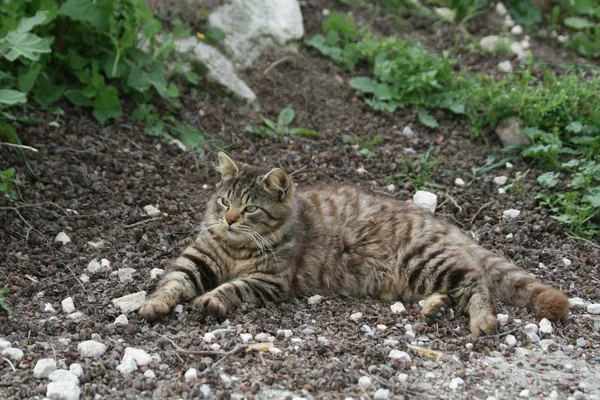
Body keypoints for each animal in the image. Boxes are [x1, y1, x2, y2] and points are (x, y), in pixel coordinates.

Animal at [138, 153, 568, 334]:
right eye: (225, 203)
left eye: (250, 210)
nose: (228, 219)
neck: (235, 249)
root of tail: (442, 222)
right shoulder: (197, 259)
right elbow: (171, 281)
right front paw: (155, 304)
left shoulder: (269, 281)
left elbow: (232, 288)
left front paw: (212, 299)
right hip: (421, 275)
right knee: (455, 287)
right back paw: (434, 309)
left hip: (425, 260)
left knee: (476, 282)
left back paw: (481, 321)